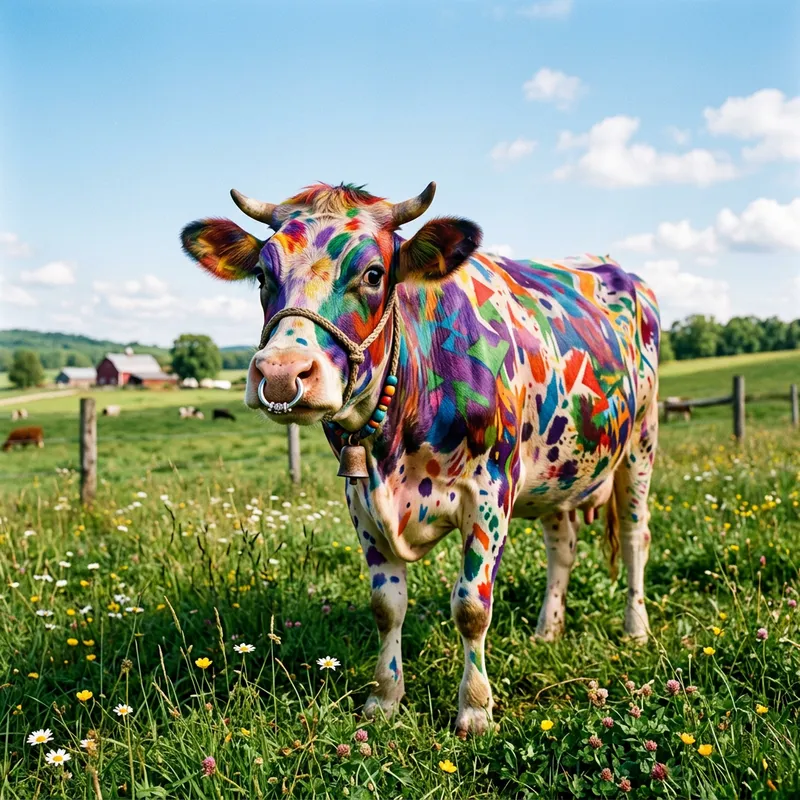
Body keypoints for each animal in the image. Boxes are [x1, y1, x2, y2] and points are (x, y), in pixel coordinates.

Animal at [181, 181, 661, 737]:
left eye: (373, 274)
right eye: (262, 273)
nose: (281, 373)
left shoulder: (490, 491)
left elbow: (472, 605)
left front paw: (475, 708)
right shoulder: (360, 499)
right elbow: (386, 606)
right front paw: (385, 698)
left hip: (641, 444)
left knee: (636, 537)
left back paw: (635, 628)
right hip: (557, 470)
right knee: (561, 547)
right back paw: (547, 630)